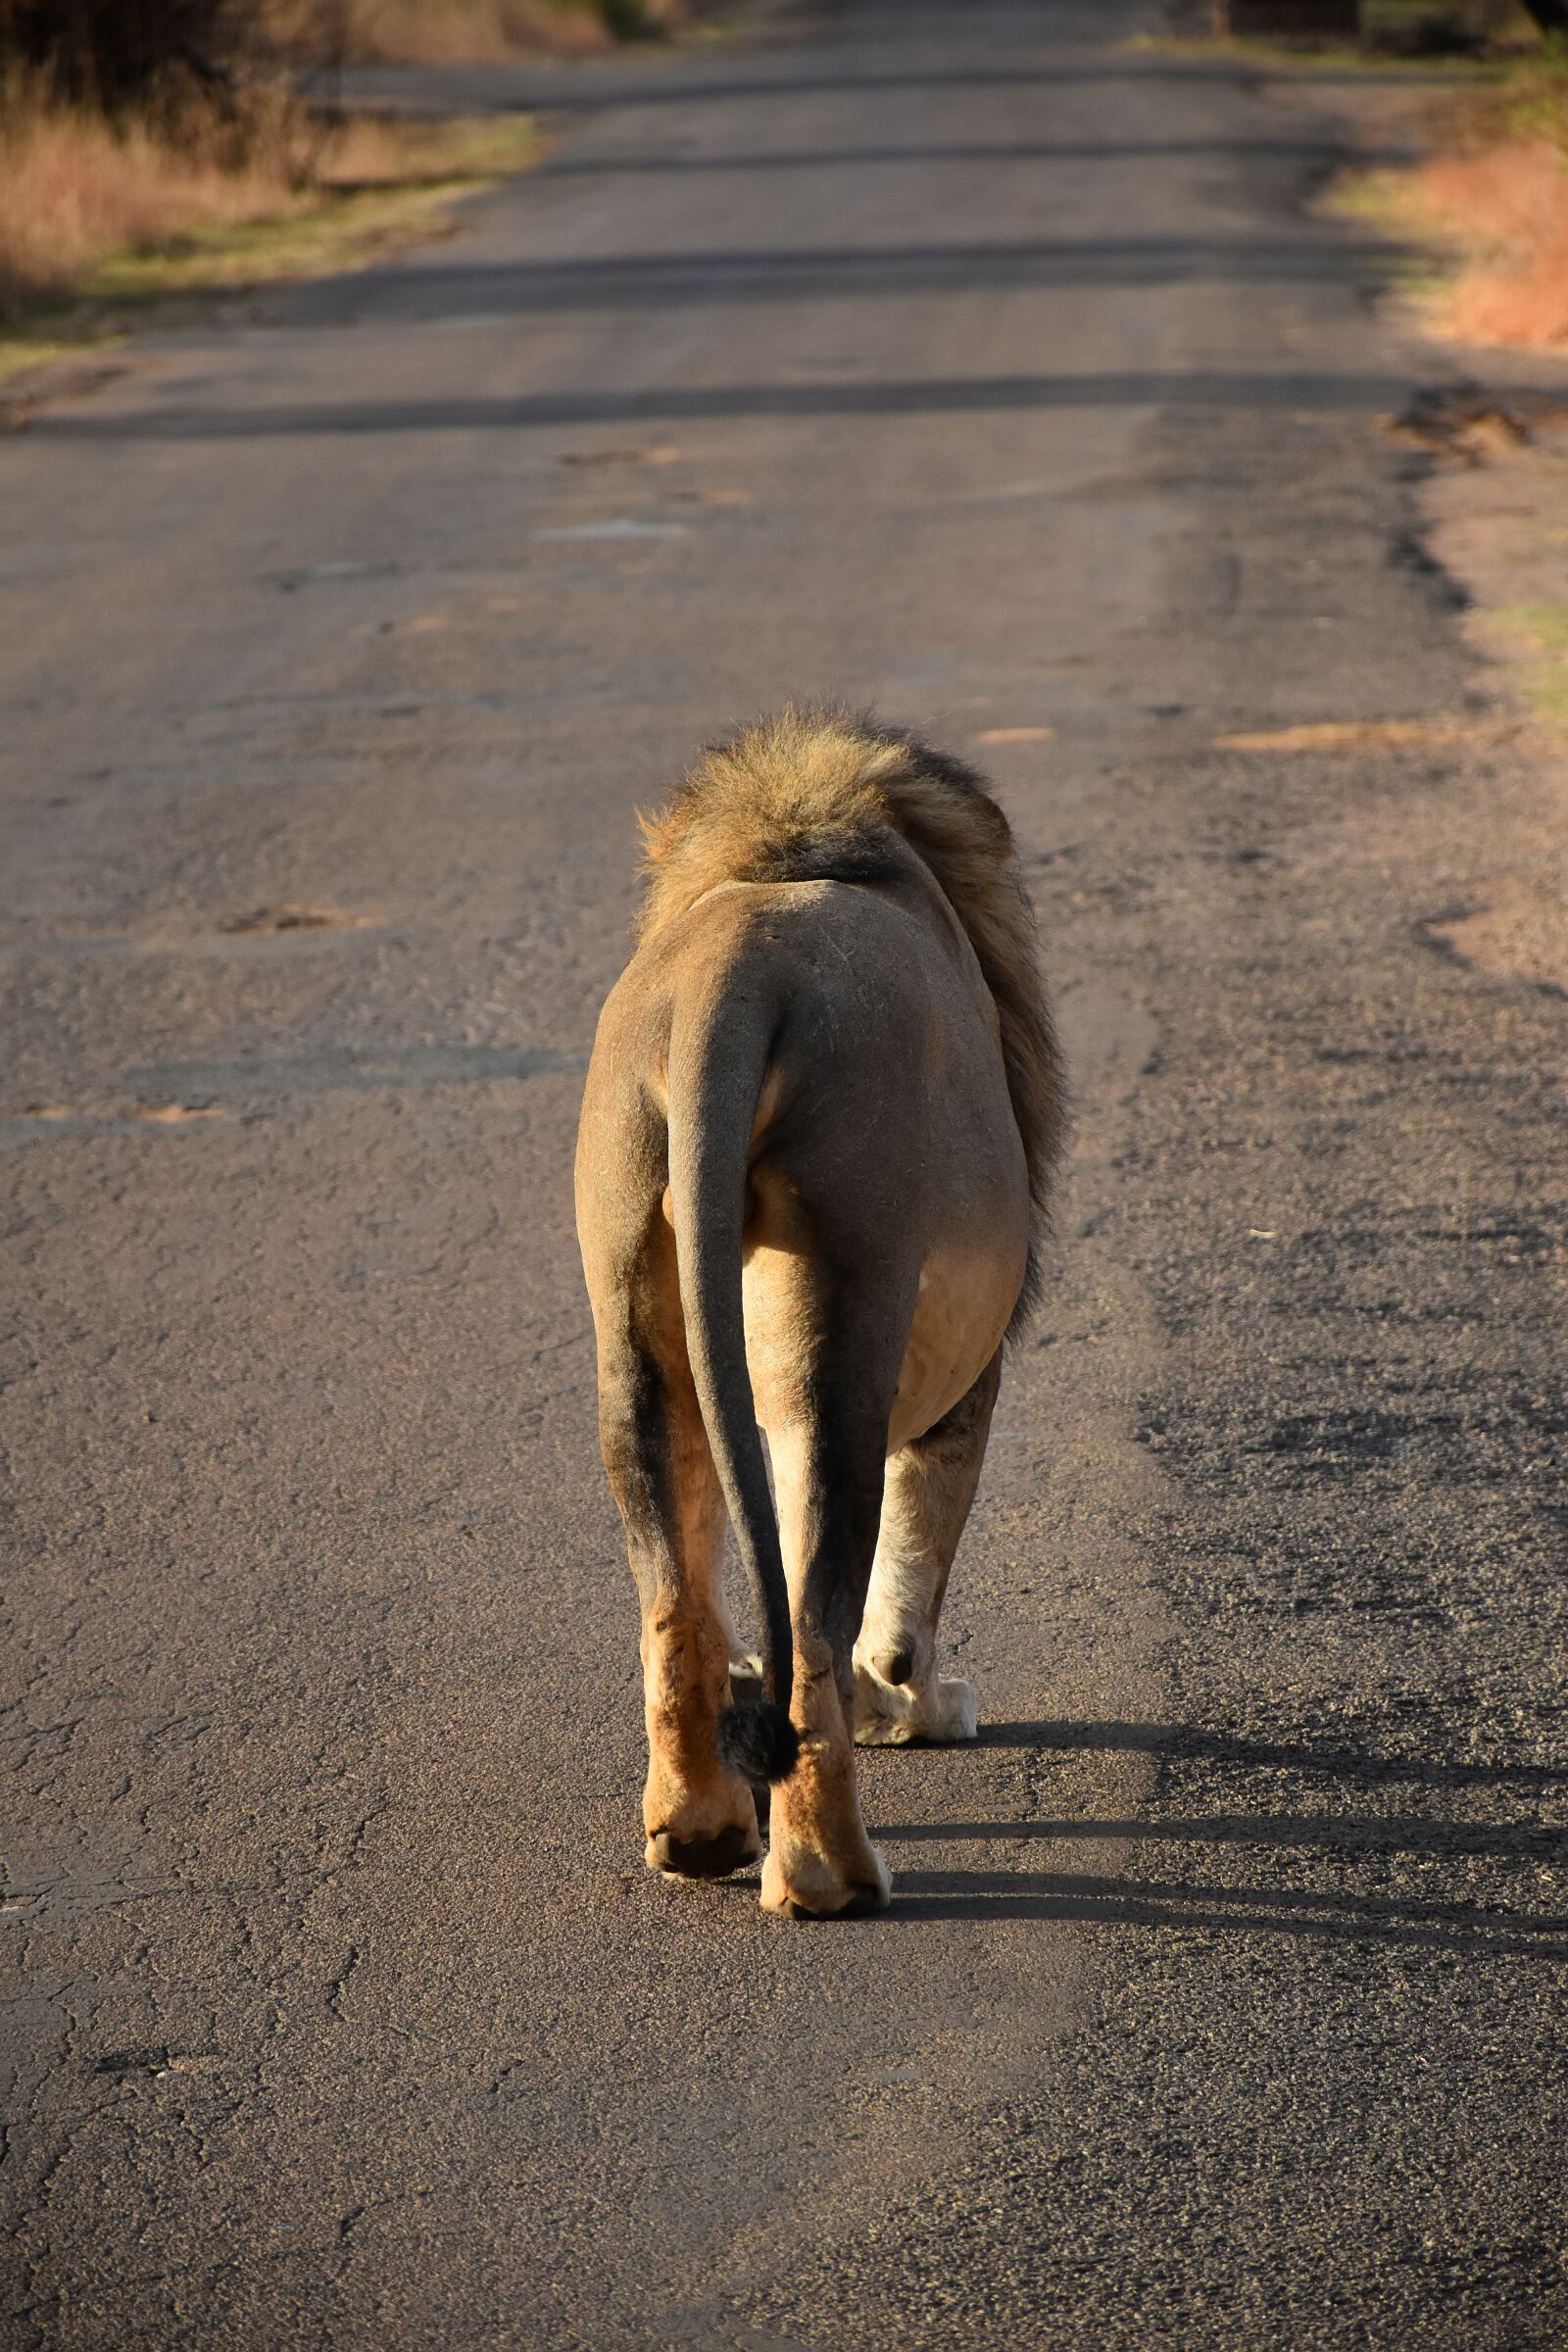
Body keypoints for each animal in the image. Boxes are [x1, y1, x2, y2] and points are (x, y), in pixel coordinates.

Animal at [574, 710, 1062, 1917]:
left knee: (679, 1598)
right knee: (814, 1602)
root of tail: (732, 974)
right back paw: (830, 1873)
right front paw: (917, 1706)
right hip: (843, 1303)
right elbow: (916, 1560)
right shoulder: (969, 1375)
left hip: (636, 1303)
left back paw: (700, 1832)